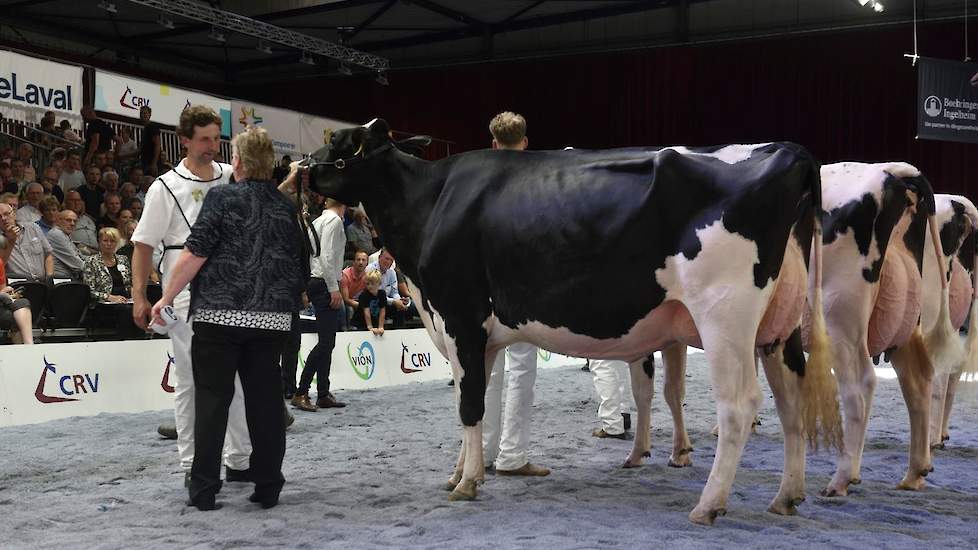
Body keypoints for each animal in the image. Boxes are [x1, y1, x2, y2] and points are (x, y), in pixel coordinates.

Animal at [304, 119, 840, 528]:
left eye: (342, 142)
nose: (301, 169)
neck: (430, 202)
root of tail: (788, 151)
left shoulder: (459, 315)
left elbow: (471, 403)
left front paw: (468, 483)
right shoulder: (473, 334)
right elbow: (473, 399)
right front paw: (460, 472)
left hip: (725, 317)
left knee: (739, 406)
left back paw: (708, 505)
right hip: (779, 329)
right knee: (792, 403)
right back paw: (787, 496)